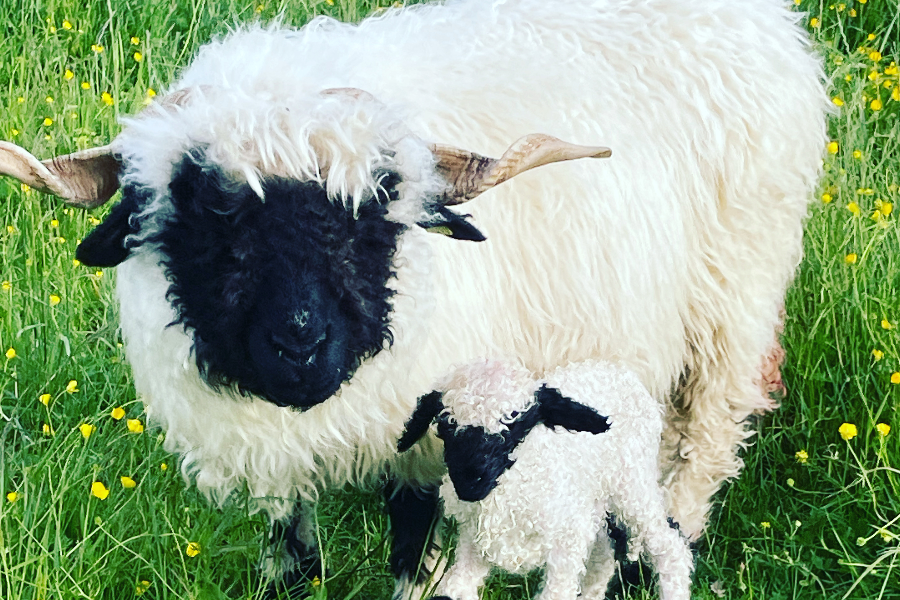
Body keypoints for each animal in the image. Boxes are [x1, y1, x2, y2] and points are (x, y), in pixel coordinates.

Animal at [398, 358, 692, 596]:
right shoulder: (473, 543)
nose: (469, 485)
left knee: (670, 549)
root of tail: (620, 372)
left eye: (515, 426)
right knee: (603, 554)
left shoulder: (566, 545)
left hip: (633, 485)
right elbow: (457, 587)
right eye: (446, 427)